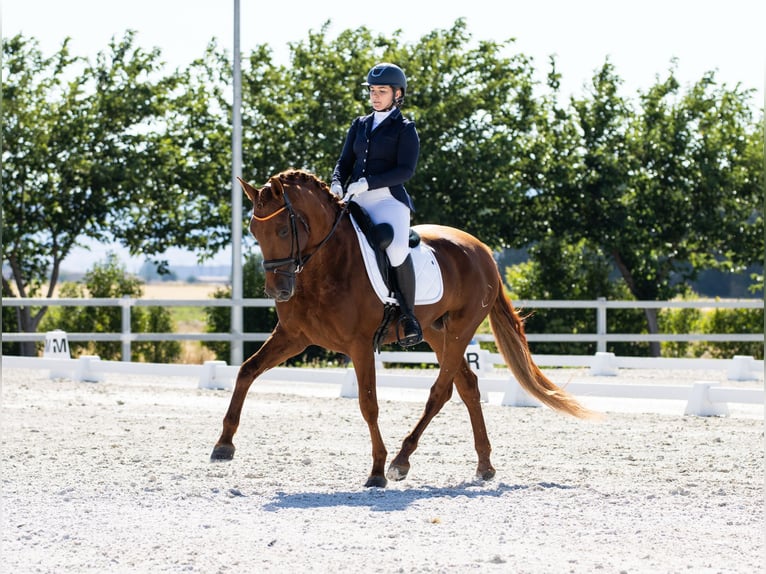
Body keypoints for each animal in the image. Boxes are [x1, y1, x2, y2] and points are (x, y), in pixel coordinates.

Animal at [212, 169, 600, 488]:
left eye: (281, 229)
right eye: (253, 231)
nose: (277, 291)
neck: (325, 264)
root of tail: (483, 250)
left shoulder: (359, 345)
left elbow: (368, 403)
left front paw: (377, 471)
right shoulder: (293, 337)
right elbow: (246, 371)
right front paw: (223, 445)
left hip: (459, 330)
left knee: (441, 391)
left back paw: (401, 461)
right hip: (437, 332)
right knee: (468, 386)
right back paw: (484, 466)